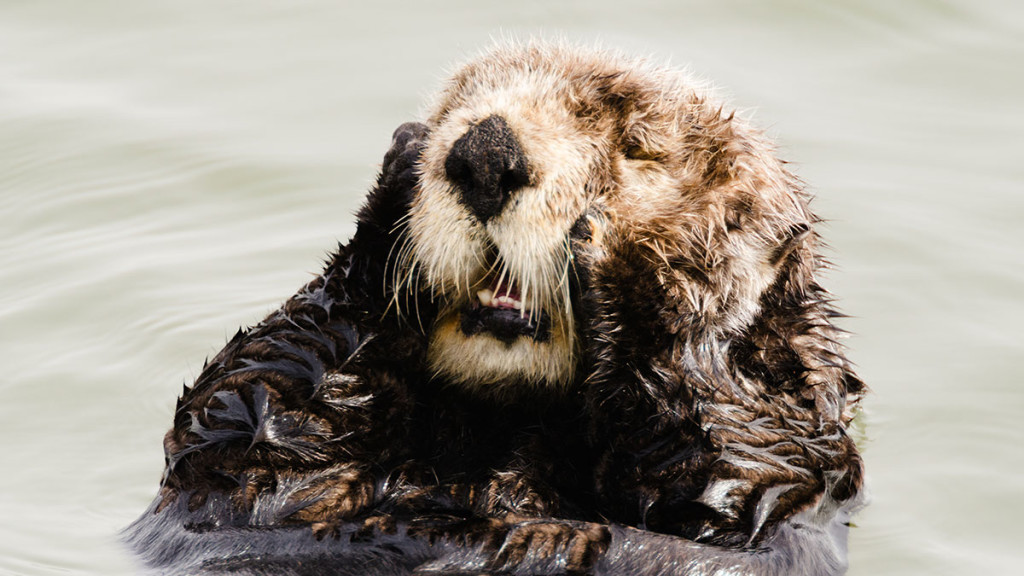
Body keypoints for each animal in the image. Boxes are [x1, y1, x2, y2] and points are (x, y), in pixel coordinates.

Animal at [125, 42, 864, 569]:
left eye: (639, 149)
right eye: (458, 103)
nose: (484, 150)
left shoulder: (784, 466)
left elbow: (720, 468)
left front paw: (628, 265)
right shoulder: (235, 482)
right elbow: (244, 418)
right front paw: (403, 163)